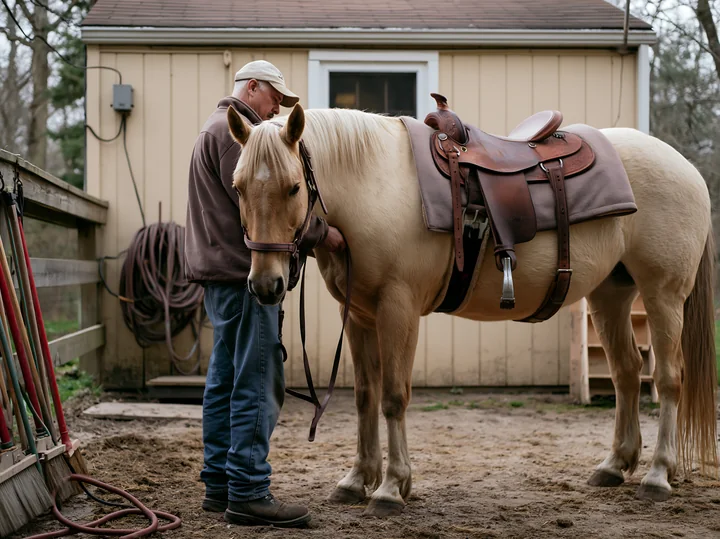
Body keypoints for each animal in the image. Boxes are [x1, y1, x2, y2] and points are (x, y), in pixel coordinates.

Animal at [225, 101, 718, 517]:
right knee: (627, 373)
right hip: (610, 295)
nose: (265, 285)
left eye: (293, 187)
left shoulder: (397, 308)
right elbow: (365, 396)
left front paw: (391, 487)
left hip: (663, 294)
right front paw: (356, 479)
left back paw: (658, 474)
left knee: (668, 379)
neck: (376, 187)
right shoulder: (362, 315)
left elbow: (392, 397)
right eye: (238, 187)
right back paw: (615, 465)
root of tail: (687, 168)